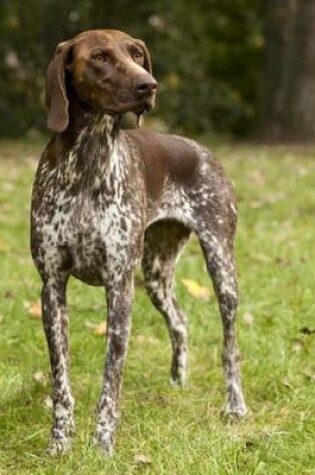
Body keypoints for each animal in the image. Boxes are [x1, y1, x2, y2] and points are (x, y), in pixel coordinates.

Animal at [30, 29, 247, 458]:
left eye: (136, 54)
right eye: (100, 56)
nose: (149, 85)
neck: (88, 161)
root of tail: (200, 149)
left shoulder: (119, 287)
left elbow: (110, 382)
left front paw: (102, 445)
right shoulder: (52, 287)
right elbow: (60, 380)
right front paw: (60, 442)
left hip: (220, 267)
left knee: (229, 345)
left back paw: (234, 405)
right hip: (155, 275)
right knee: (179, 321)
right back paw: (178, 382)